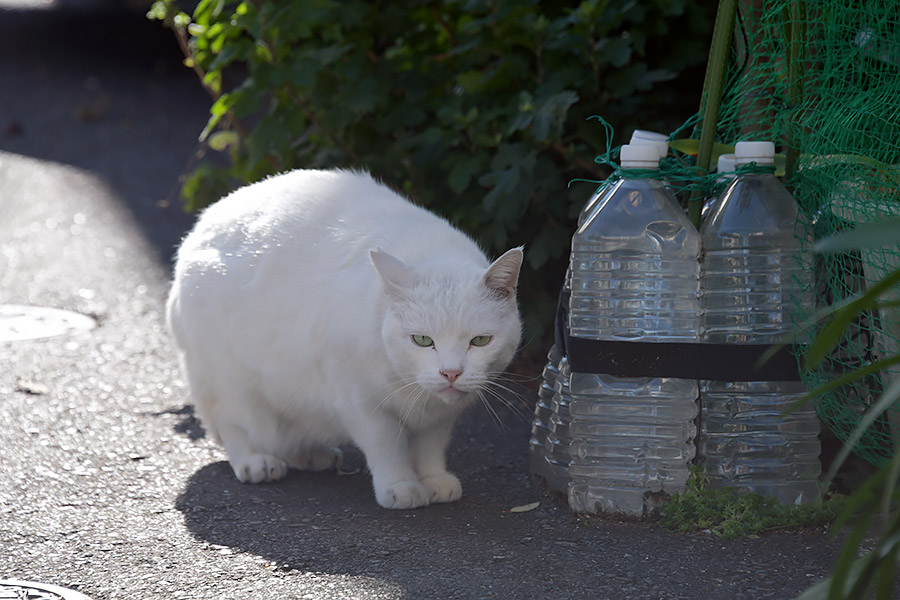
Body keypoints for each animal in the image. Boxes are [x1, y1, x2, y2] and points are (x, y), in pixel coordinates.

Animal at [165, 168, 524, 506]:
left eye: (480, 341)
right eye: (422, 340)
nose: (451, 373)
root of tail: (201, 225)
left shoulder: (440, 415)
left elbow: (430, 447)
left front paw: (433, 480)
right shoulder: (360, 402)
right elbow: (386, 446)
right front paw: (401, 487)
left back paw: (311, 455)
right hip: (231, 382)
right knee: (234, 423)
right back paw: (256, 462)